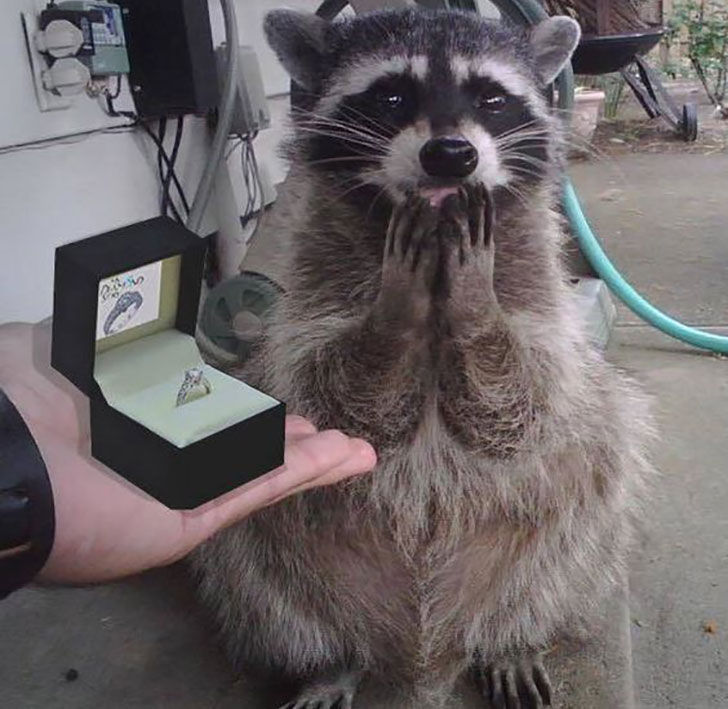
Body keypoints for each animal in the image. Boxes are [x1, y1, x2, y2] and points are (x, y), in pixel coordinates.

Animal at [192, 8, 654, 709]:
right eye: (391, 97)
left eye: (490, 97)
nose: (451, 154)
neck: (437, 246)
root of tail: (425, 650)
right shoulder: (311, 299)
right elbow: (337, 404)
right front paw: (396, 312)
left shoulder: (539, 295)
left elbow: (527, 405)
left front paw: (476, 307)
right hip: (283, 569)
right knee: (256, 566)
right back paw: (330, 659)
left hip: (562, 543)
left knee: (586, 503)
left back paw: (511, 638)